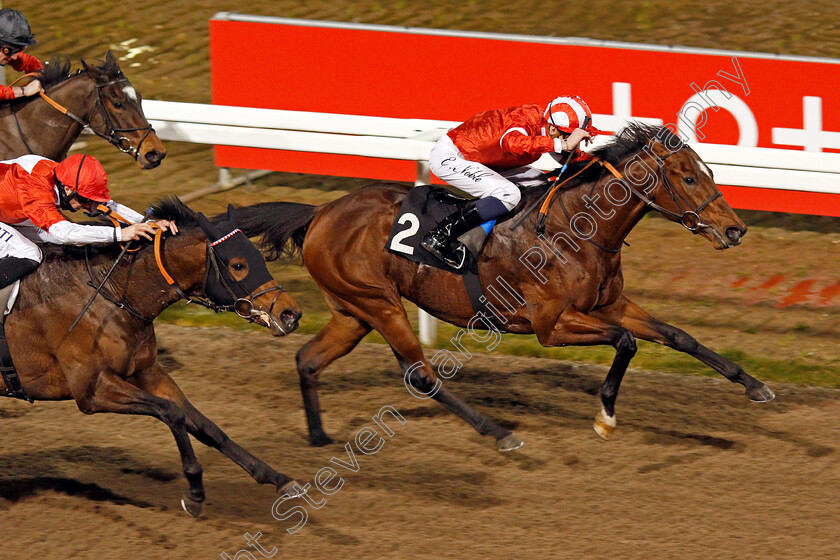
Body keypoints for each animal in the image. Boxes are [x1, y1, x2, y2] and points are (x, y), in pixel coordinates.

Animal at [1, 198, 304, 516]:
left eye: (259, 257)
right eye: (238, 265)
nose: (291, 314)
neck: (112, 293)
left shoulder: (146, 370)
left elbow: (204, 424)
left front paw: (277, 478)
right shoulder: (91, 389)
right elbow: (172, 412)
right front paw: (195, 492)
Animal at [230, 122, 776, 450]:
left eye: (709, 170)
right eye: (688, 178)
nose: (735, 230)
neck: (575, 228)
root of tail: (320, 211)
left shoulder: (611, 303)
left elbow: (679, 336)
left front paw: (754, 385)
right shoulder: (551, 325)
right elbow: (626, 342)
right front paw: (605, 416)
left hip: (352, 311)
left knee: (308, 360)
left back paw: (319, 437)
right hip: (378, 303)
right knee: (420, 374)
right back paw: (498, 432)